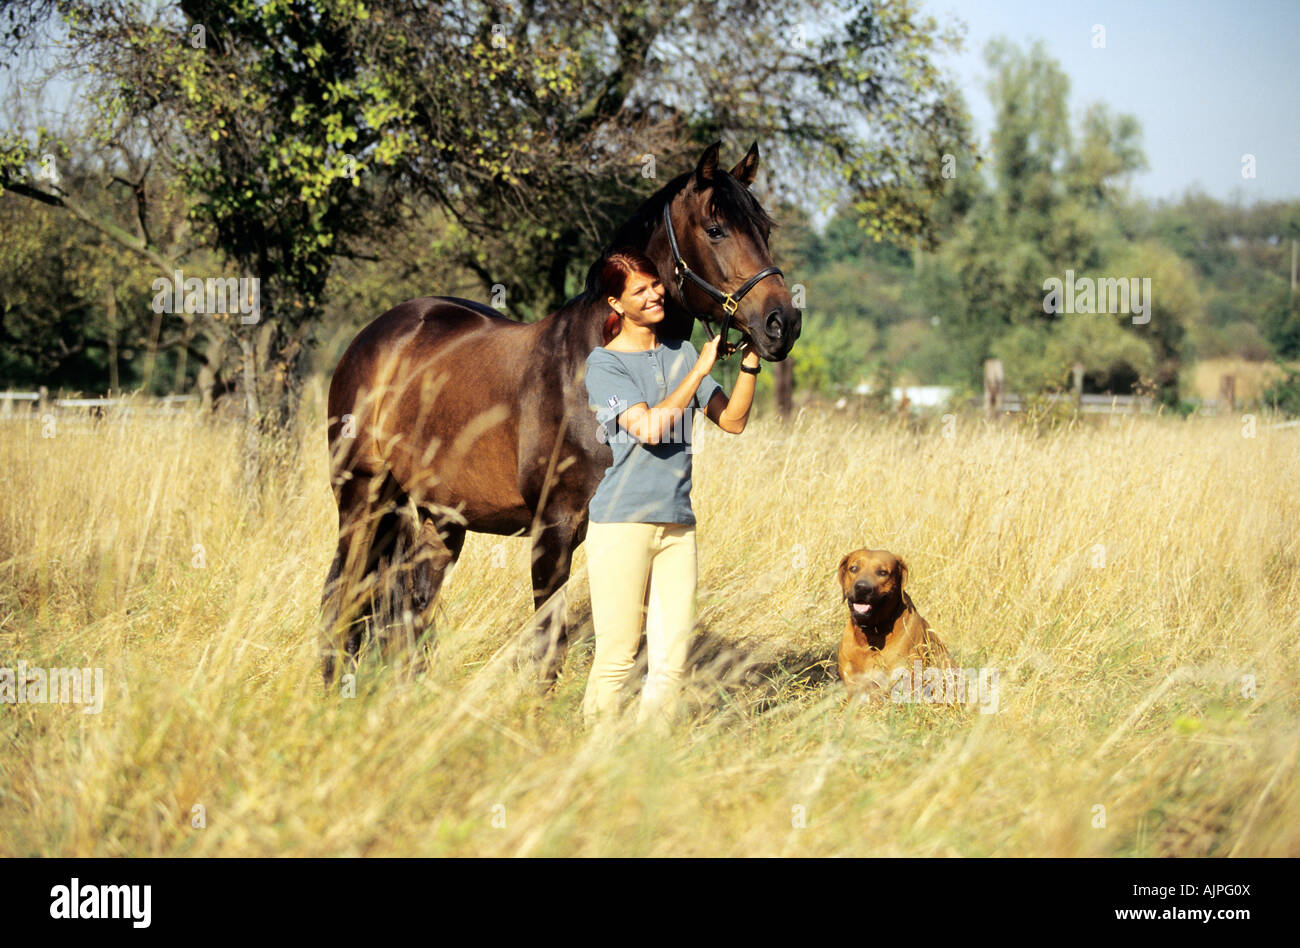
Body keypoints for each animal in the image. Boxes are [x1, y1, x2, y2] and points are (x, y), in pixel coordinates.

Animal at [318, 140, 795, 686]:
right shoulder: (554, 528)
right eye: (716, 228)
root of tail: (376, 335)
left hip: (439, 517)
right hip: (362, 499)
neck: (585, 367)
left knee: (411, 608)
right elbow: (549, 648)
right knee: (342, 599)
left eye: (764, 229)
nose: (783, 322)